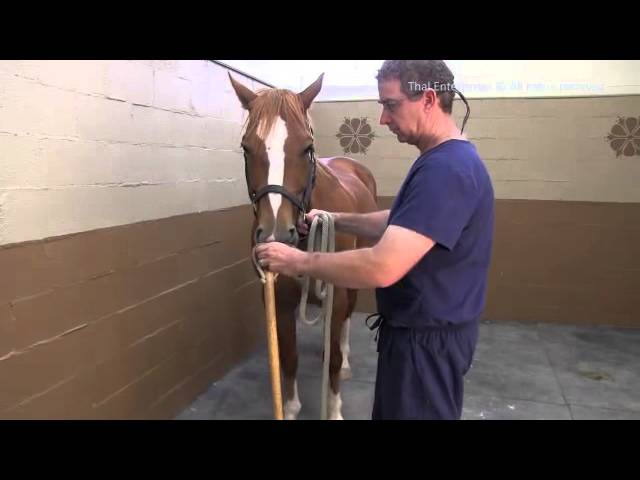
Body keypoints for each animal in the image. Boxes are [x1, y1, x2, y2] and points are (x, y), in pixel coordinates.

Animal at [229, 73, 378, 420]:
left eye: (307, 147)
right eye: (246, 148)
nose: (276, 234)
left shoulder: (337, 294)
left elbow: (334, 358)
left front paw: (334, 409)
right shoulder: (279, 300)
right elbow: (288, 358)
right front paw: (291, 406)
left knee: (344, 326)